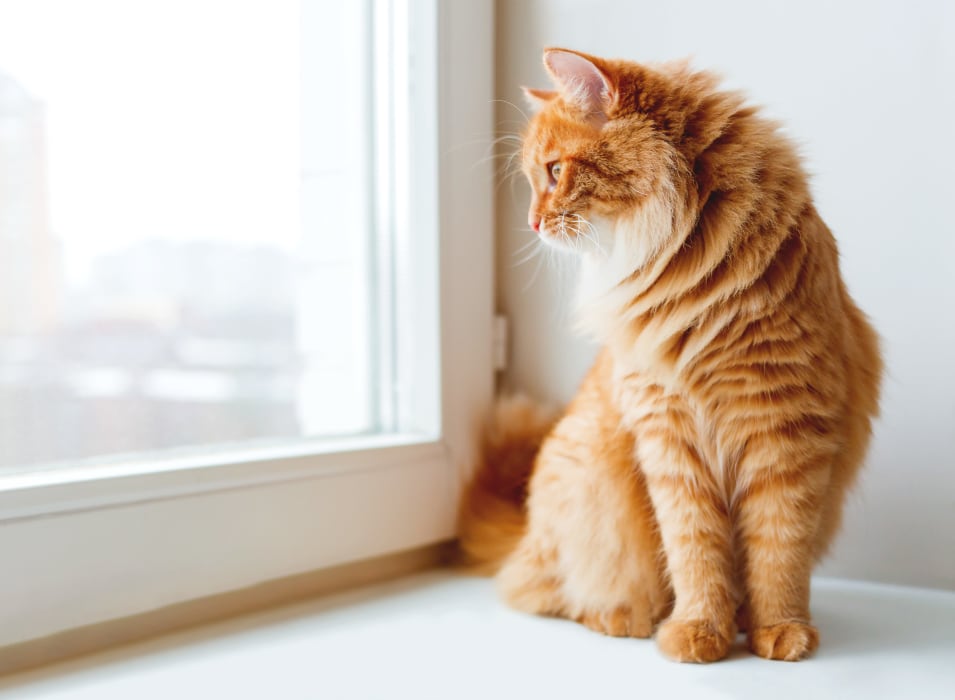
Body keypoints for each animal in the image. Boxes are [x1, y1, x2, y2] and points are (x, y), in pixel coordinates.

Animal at [460, 47, 884, 660]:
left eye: (556, 172)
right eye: (535, 179)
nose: (533, 223)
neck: (694, 279)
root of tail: (526, 534)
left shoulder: (785, 435)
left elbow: (778, 554)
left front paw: (780, 630)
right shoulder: (669, 439)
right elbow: (696, 553)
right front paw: (698, 631)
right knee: (544, 592)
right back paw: (623, 617)